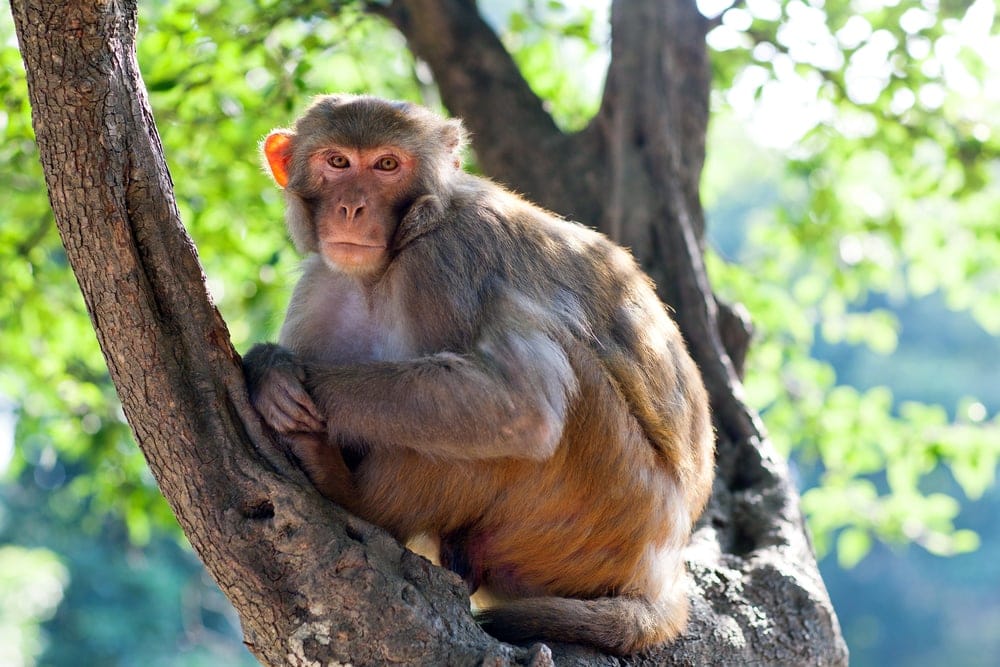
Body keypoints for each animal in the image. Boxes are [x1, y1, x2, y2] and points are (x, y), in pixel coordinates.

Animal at [242, 94, 715, 656]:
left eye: (386, 165)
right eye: (337, 162)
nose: (352, 208)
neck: (390, 260)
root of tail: (663, 567)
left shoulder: (448, 258)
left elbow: (520, 404)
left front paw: (273, 378)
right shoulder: (322, 285)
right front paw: (272, 367)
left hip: (608, 500)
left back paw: (350, 492)